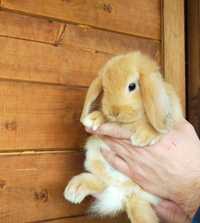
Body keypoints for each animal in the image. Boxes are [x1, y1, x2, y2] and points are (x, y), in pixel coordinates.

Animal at [64, 51, 184, 223]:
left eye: (132, 86)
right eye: (104, 88)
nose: (114, 111)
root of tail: (125, 193)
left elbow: (157, 127)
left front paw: (144, 136)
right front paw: (94, 119)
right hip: (96, 160)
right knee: (103, 182)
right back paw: (75, 190)